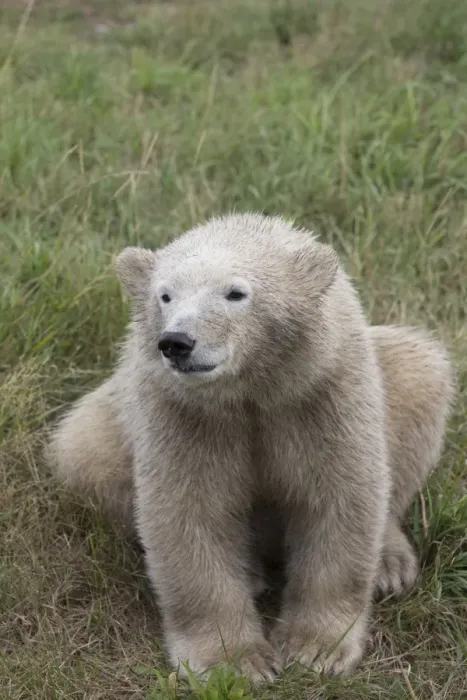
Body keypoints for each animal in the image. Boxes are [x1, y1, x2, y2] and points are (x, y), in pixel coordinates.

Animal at [47, 213, 455, 682]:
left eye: (235, 292)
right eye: (165, 295)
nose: (176, 342)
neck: (253, 390)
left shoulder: (323, 395)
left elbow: (338, 499)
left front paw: (315, 648)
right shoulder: (185, 416)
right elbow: (191, 516)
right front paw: (235, 662)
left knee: (419, 373)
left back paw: (389, 563)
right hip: (107, 421)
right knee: (82, 448)